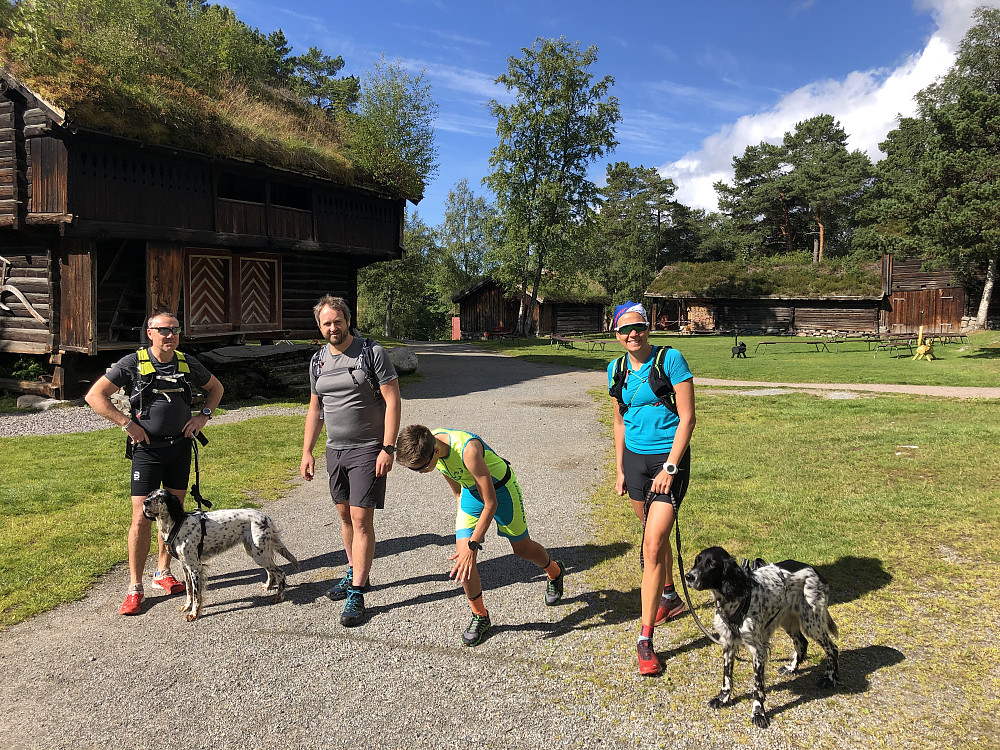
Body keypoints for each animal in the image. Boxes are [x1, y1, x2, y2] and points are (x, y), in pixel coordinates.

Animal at [141, 488, 298, 624]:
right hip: (256, 551)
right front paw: (187, 606)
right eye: (150, 494)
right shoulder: (185, 567)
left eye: (161, 497)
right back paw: (268, 585)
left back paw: (279, 596)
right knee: (271, 571)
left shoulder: (195, 568)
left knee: (281, 573)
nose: (145, 502)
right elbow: (188, 590)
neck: (176, 525)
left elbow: (197, 595)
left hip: (259, 553)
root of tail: (266, 517)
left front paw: (194, 614)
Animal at [684, 548, 840, 728]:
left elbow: (757, 688)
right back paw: (792, 668)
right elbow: (726, 677)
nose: (688, 577)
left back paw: (829, 678)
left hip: (812, 623)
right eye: (697, 560)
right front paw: (723, 698)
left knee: (832, 648)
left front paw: (758, 713)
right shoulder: (728, 644)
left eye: (712, 564)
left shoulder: (758, 651)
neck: (734, 600)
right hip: (788, 621)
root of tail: (814, 570)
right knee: (801, 643)